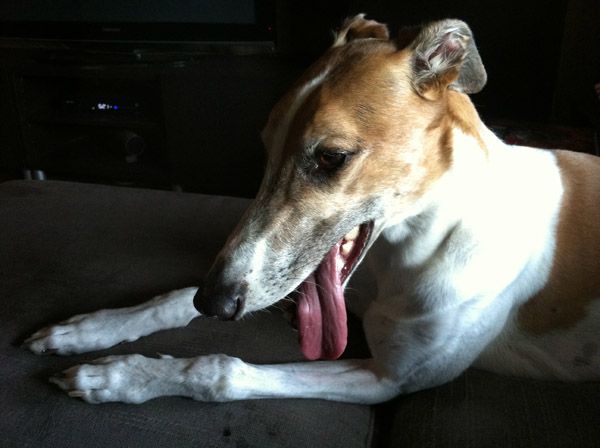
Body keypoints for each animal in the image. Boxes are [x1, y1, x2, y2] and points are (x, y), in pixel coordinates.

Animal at [25, 15, 596, 404]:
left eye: (330, 157)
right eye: (266, 145)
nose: (216, 303)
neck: (414, 247)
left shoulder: (385, 379)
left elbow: (221, 369)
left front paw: (118, 375)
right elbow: (175, 296)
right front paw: (90, 329)